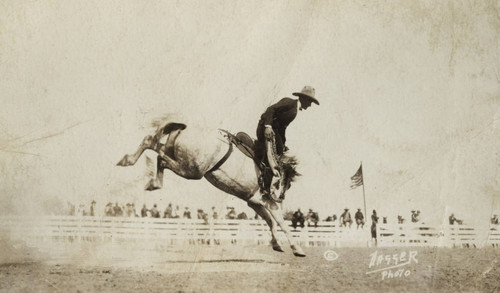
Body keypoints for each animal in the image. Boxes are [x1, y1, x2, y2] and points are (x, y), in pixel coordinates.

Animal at [117, 119, 304, 256]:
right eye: (287, 184)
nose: (281, 197)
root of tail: (186, 128)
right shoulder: (267, 201)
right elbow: (280, 222)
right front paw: (297, 248)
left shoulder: (254, 202)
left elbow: (270, 221)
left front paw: (277, 244)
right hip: (192, 170)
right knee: (161, 159)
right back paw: (153, 181)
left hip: (175, 153)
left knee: (152, 143)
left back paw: (128, 161)